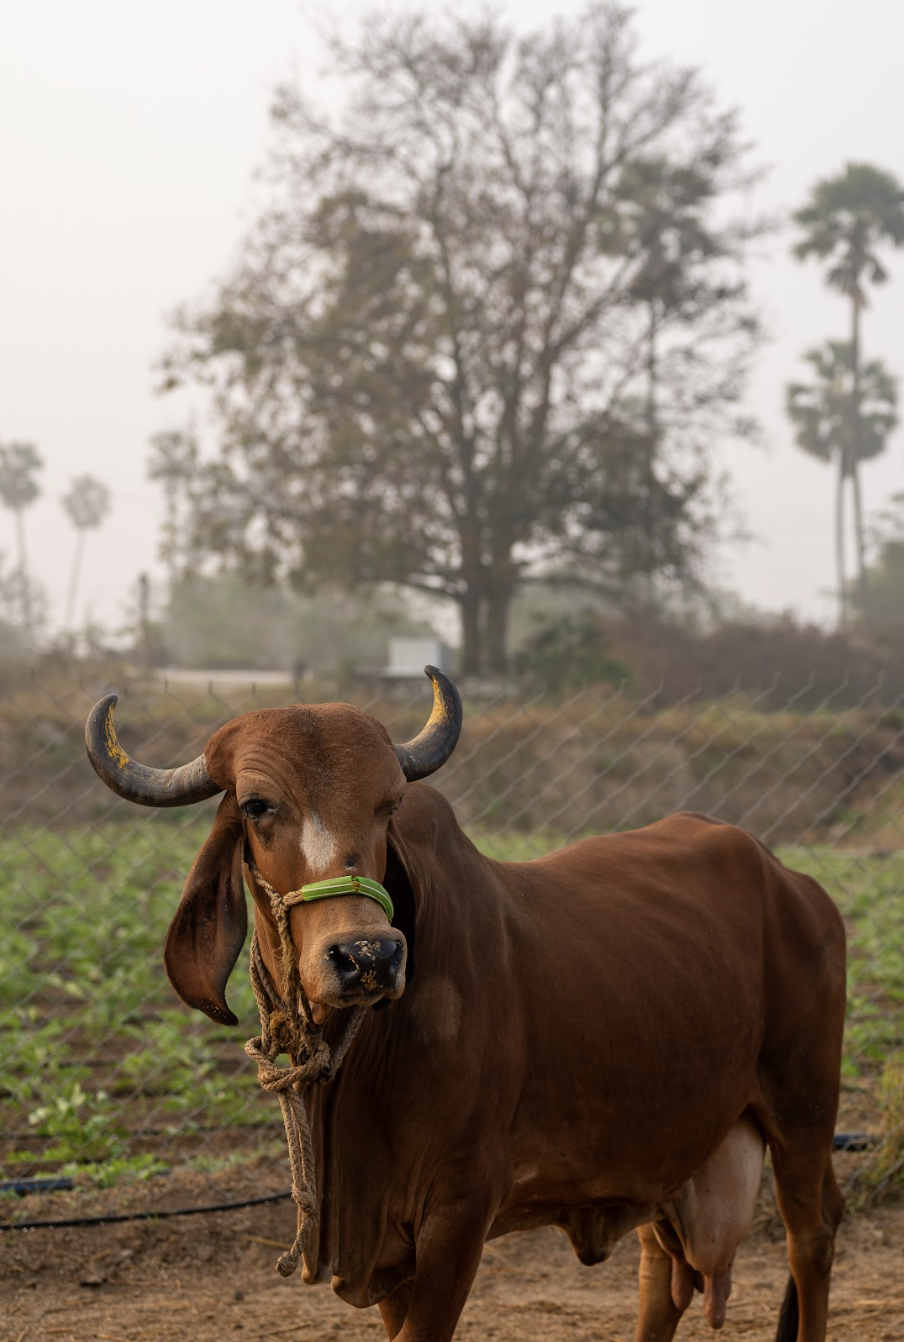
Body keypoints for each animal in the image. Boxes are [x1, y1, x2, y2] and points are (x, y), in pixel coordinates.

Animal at [85, 667, 846, 1342]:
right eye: (256, 806)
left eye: (388, 804)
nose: (368, 956)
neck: (361, 1060)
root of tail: (797, 885)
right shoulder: (382, 1241)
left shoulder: (462, 1207)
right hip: (667, 1151)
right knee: (662, 1272)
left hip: (803, 1106)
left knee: (811, 1236)